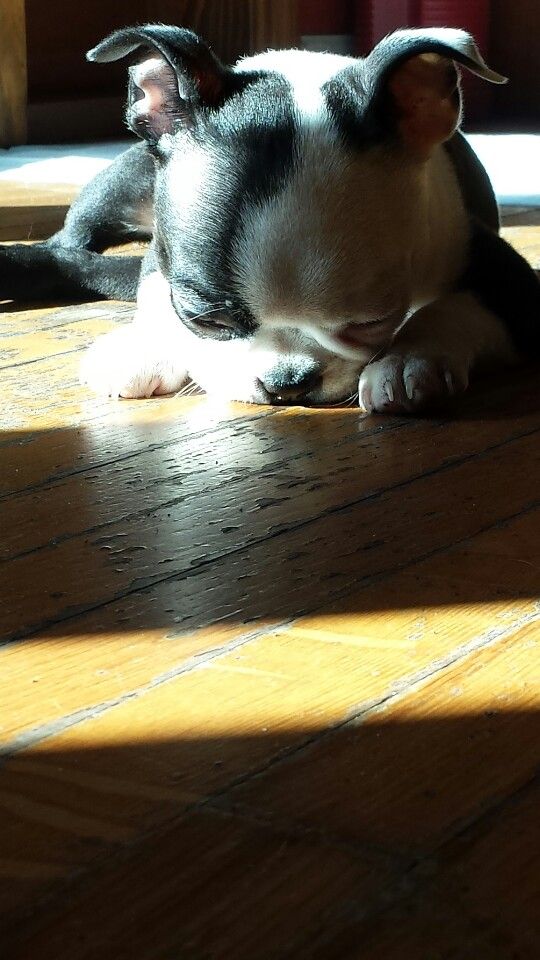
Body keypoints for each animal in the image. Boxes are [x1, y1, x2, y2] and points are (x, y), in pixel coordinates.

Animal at [4, 25, 540, 408]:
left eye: (371, 323)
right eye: (205, 318)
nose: (288, 382)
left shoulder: (503, 273)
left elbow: (454, 305)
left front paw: (411, 357)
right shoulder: (167, 258)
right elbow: (154, 292)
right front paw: (144, 345)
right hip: (125, 180)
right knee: (71, 245)